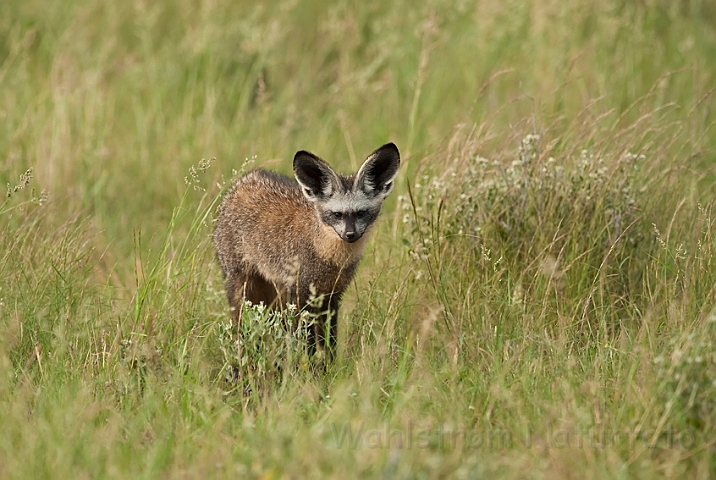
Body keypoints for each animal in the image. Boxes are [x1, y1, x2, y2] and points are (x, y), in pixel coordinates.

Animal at [215, 142, 400, 356]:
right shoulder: (301, 297)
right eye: (337, 214)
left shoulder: (330, 297)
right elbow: (307, 344)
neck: (328, 258)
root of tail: (248, 178)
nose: (350, 235)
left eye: (361, 213)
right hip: (243, 288)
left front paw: (328, 365)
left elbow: (329, 344)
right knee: (241, 328)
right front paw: (308, 365)